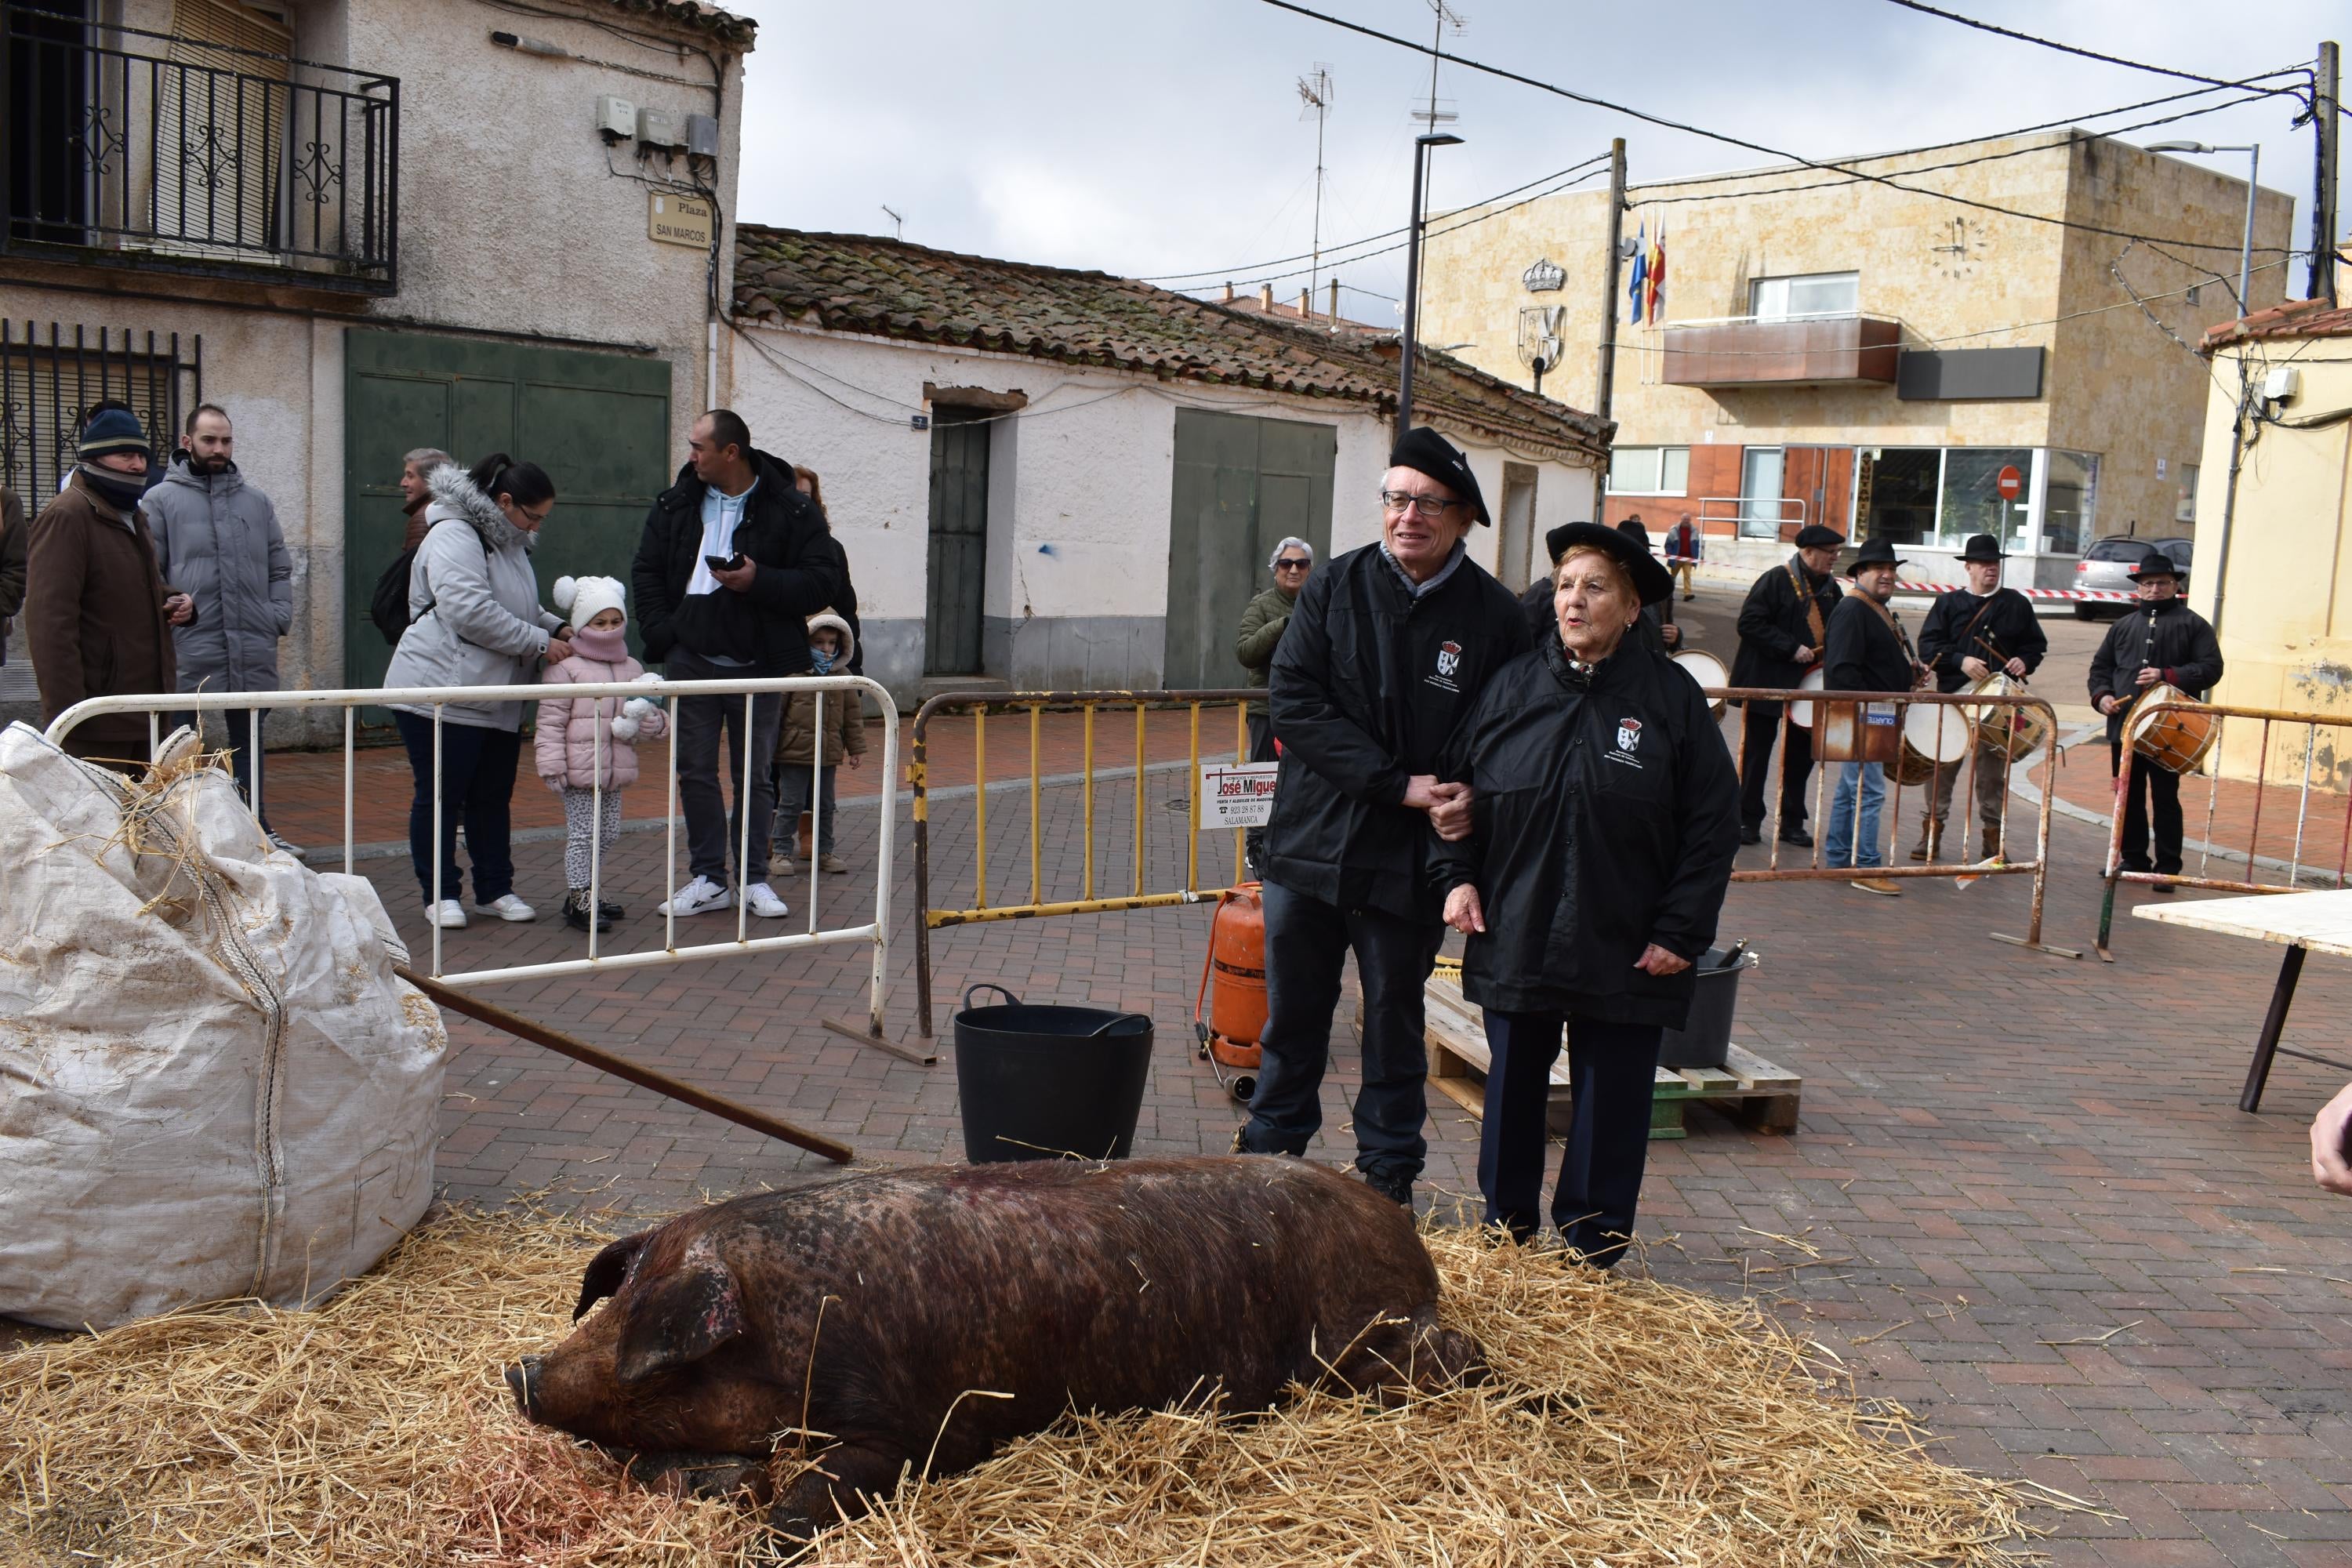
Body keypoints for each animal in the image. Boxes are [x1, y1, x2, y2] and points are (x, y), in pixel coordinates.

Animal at [506, 1152, 1477, 1533]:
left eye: (656, 1340)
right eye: (617, 1295)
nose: (520, 1369)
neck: (787, 1323)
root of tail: (1409, 1237)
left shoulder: (921, 1428)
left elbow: (810, 1495)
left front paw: (760, 1527)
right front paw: (732, 1484)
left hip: (1374, 1343)